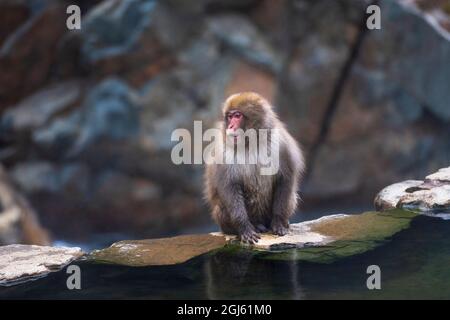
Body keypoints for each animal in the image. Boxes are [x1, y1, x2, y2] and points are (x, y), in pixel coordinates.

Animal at [205, 92, 304, 245]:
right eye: (229, 116)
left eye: (237, 115)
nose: (230, 126)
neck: (252, 142)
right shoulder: (222, 152)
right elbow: (229, 187)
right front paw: (244, 228)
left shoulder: (282, 145)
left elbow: (285, 179)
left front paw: (278, 222)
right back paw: (253, 227)